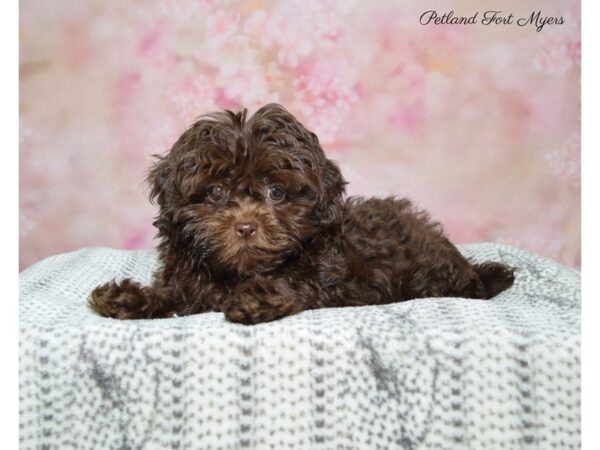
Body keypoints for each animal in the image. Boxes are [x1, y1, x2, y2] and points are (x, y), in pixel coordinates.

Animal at [86, 103, 512, 324]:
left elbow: (293, 286)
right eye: (216, 192)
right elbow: (171, 294)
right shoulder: (188, 282)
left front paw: (255, 299)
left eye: (276, 191)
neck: (239, 272)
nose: (246, 226)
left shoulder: (329, 282)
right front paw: (127, 298)